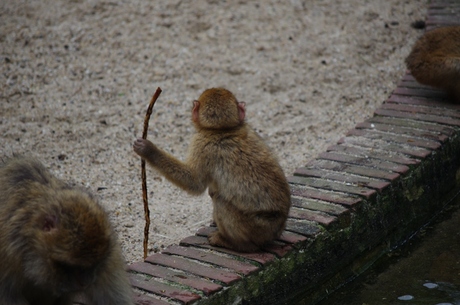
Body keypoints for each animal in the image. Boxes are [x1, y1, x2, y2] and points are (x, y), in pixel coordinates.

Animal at [134, 86, 292, 251]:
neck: (221, 129)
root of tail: (277, 230)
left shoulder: (201, 144)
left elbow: (194, 183)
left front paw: (149, 150)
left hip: (256, 228)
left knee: (220, 201)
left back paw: (237, 244)